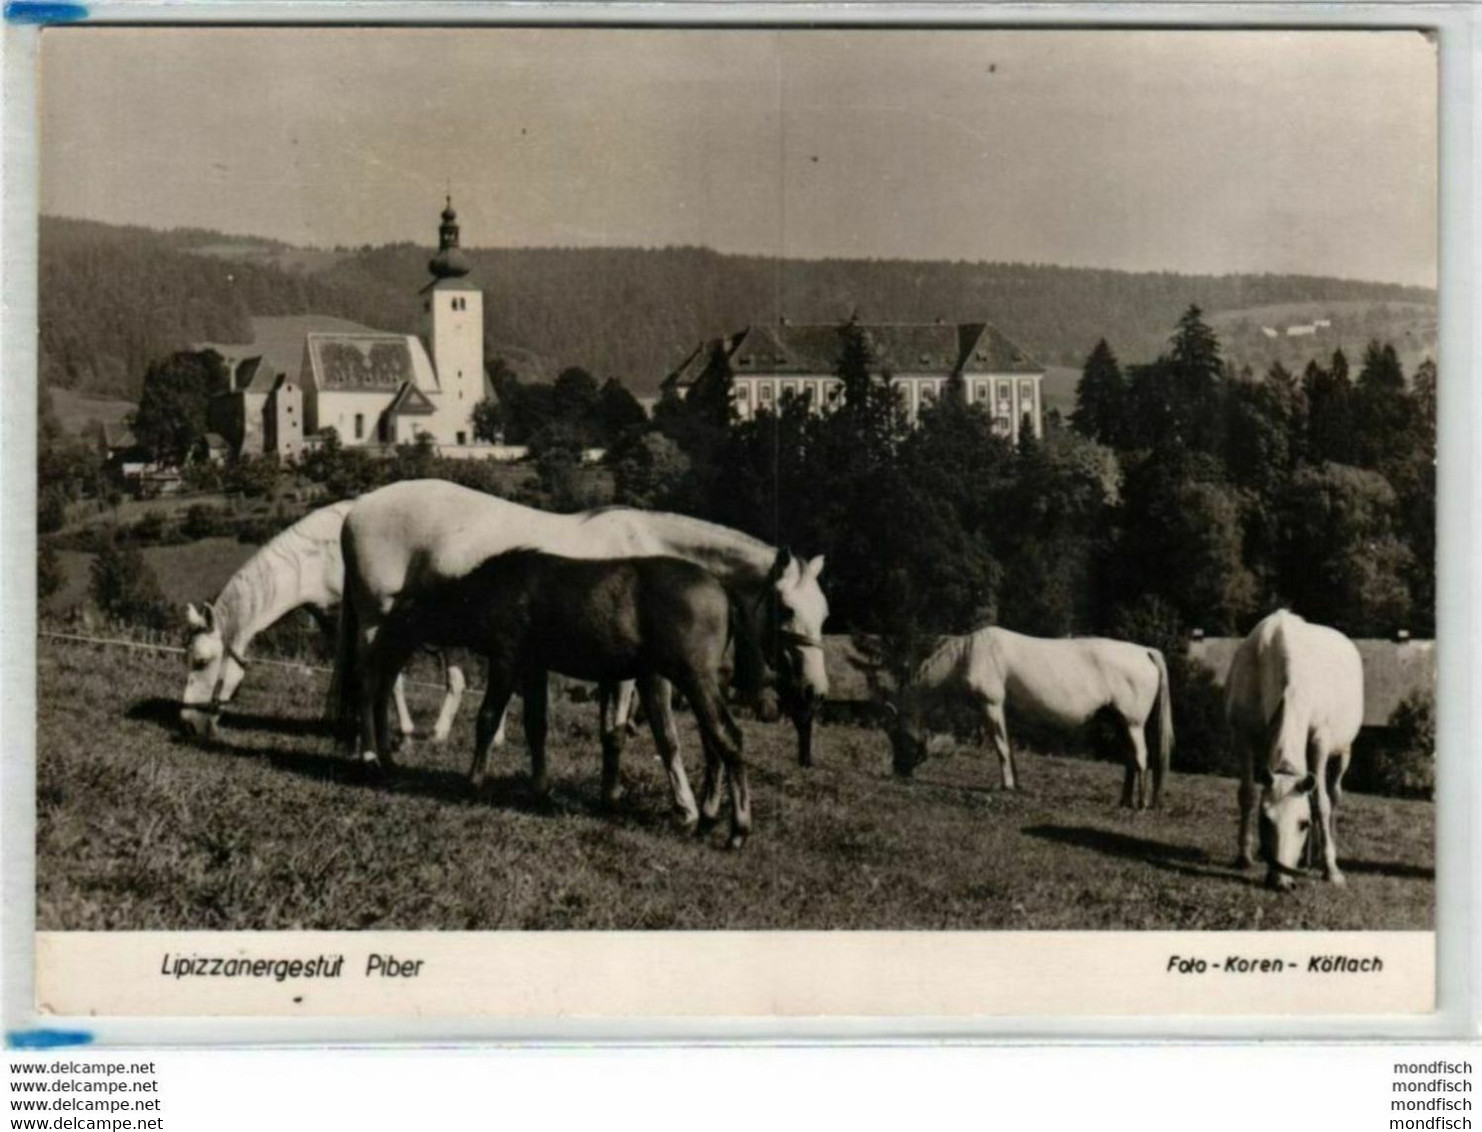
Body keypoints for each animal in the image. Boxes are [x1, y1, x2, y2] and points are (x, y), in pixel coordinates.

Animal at [181, 500, 465, 743]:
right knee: (457, 682)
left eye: (202, 661)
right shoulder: (332, 624)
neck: (318, 560)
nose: (188, 723)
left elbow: (390, 680)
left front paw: (402, 732)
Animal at [883, 628, 1173, 806]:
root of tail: (1145, 651)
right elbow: (1009, 748)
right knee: (1130, 761)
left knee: (1141, 758)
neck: (969, 653)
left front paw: (1007, 785)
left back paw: (1140, 803)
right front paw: (1016, 783)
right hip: (1120, 722)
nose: (899, 771)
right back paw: (1124, 800)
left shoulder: (991, 705)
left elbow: (1000, 747)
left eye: (896, 735)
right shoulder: (1004, 711)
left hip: (1133, 723)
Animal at [1227, 610, 1363, 894]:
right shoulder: (1242, 736)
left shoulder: (1320, 742)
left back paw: (1324, 853)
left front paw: (1332, 871)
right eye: (1265, 820)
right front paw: (1244, 857)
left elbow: (1321, 803)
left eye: (1303, 824)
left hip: (1343, 751)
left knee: (1334, 795)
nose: (1281, 882)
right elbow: (1247, 794)